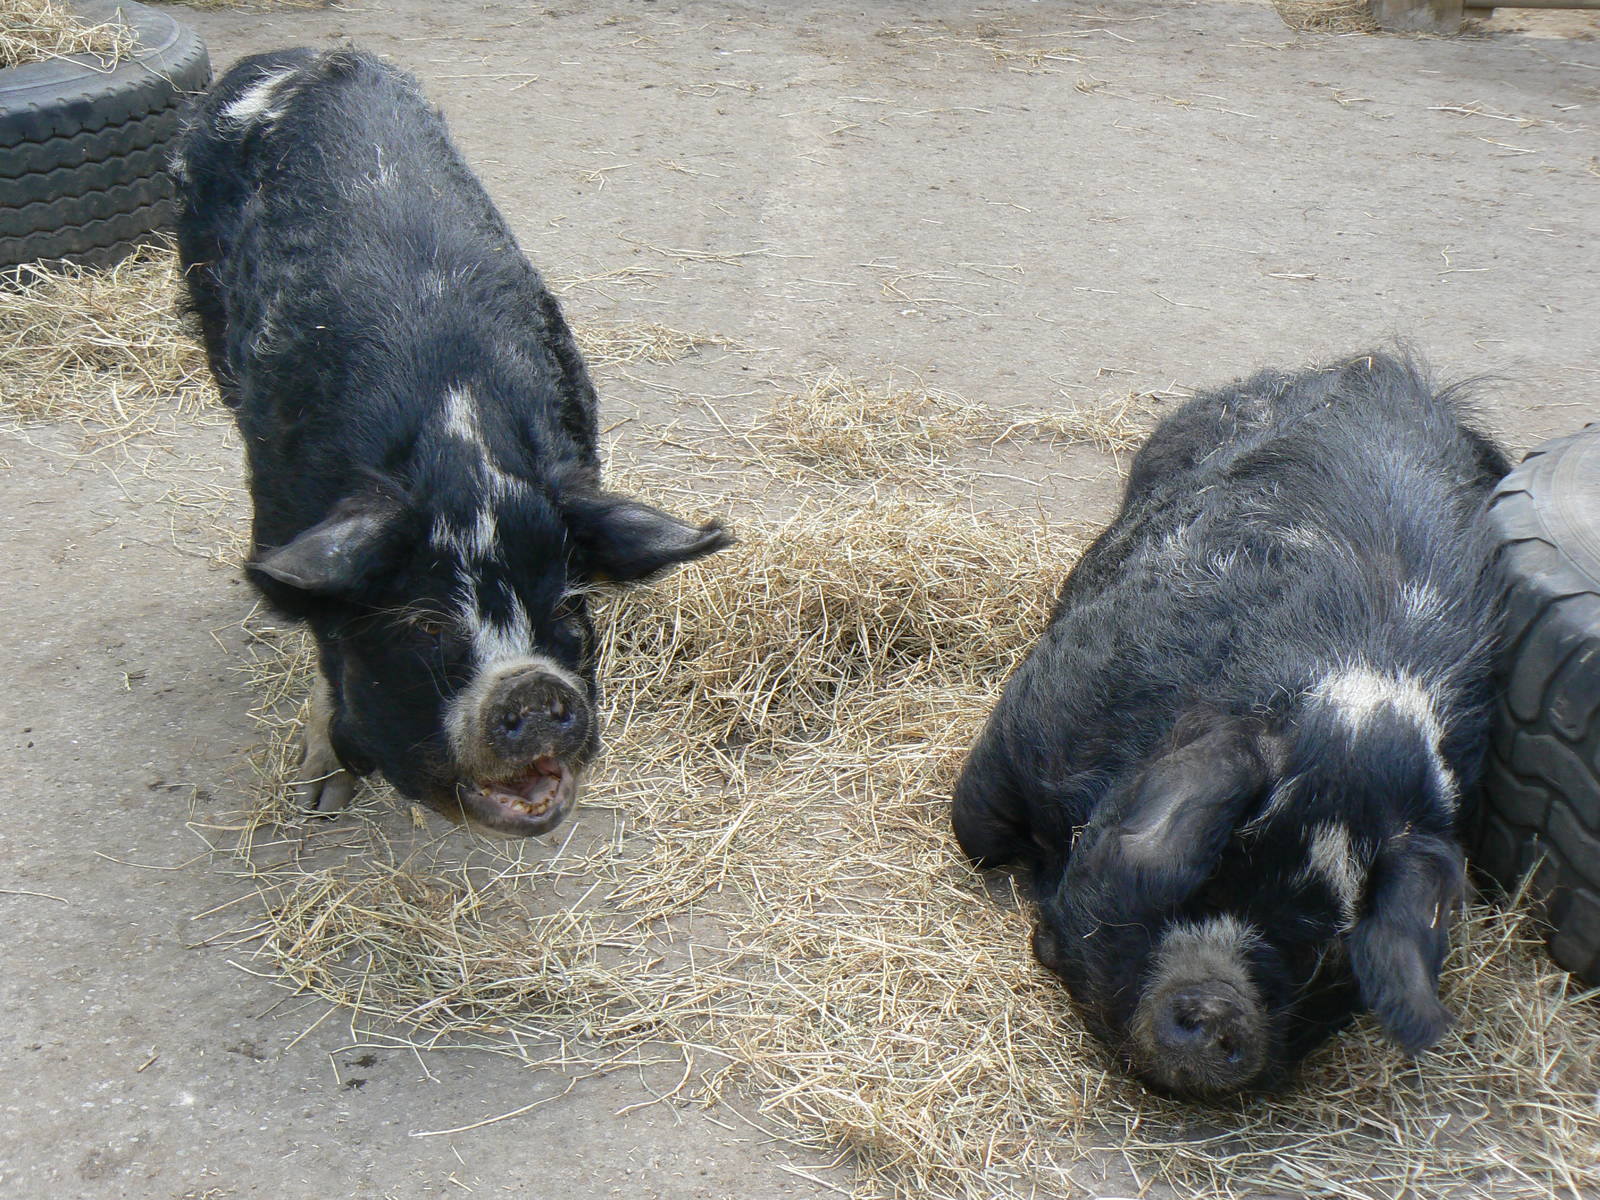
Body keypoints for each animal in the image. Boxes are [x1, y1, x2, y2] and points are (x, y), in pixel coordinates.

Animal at [172, 48, 730, 836]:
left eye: (567, 608)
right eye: (428, 627)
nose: (529, 687)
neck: (459, 449)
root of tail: (306, 56)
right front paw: (320, 799)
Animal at [953, 352, 1508, 1096]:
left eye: (1327, 942)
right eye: (1214, 868)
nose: (1220, 1004)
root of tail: (1386, 371)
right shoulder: (1036, 714)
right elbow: (975, 828)